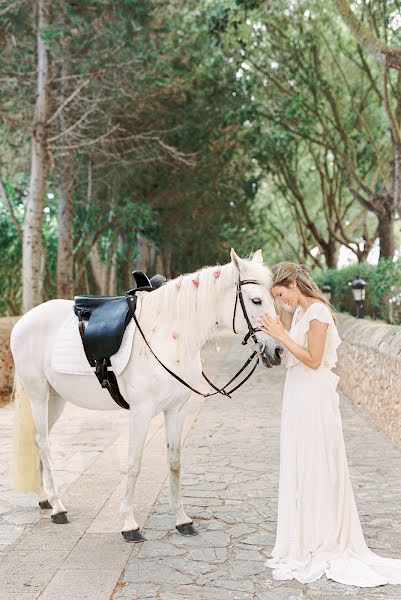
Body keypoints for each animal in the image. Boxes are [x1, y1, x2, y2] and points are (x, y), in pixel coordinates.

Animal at [10, 248, 282, 544]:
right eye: (256, 300)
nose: (278, 351)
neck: (169, 337)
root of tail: (24, 320)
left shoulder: (177, 409)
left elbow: (174, 462)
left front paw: (182, 520)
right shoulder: (141, 412)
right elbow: (134, 464)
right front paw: (129, 525)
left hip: (56, 399)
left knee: (38, 441)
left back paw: (46, 500)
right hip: (38, 394)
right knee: (44, 443)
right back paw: (58, 508)